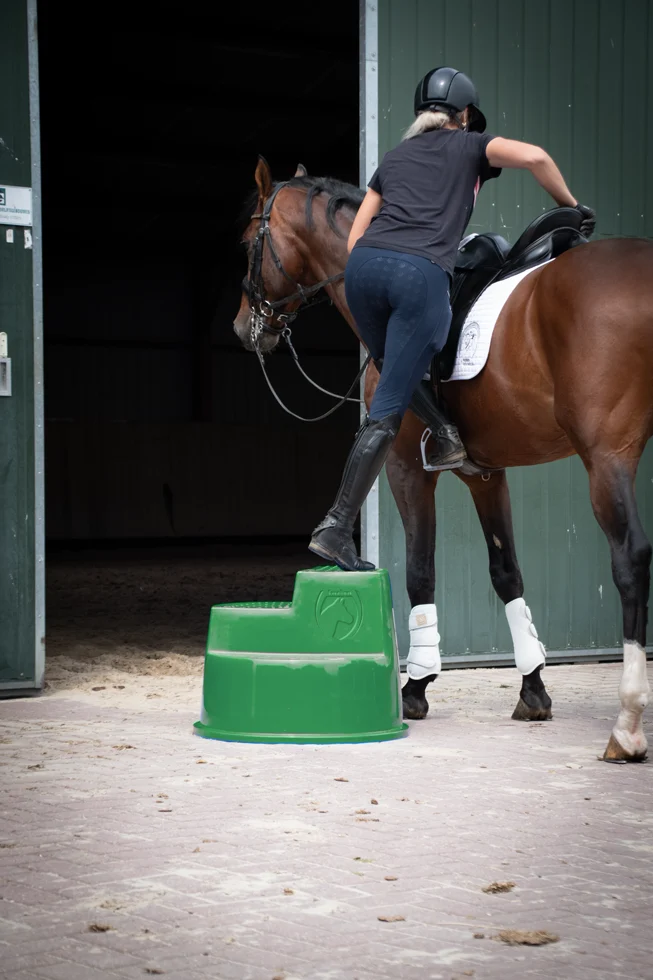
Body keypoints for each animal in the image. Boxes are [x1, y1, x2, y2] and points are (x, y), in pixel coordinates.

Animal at [233, 157, 653, 764]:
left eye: (248, 243)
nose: (245, 328)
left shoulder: (407, 468)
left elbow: (420, 571)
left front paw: (416, 685)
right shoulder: (486, 475)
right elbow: (507, 572)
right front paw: (532, 687)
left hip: (607, 459)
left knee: (630, 560)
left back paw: (627, 724)